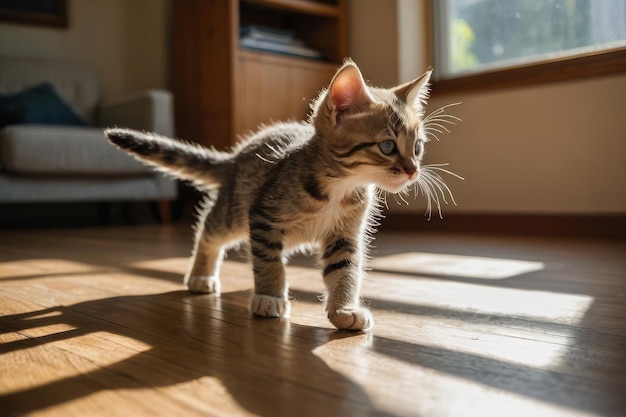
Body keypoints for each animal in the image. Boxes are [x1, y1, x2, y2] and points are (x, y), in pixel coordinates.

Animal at [102, 59, 454, 332]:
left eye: (417, 147)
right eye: (388, 146)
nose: (413, 171)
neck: (339, 188)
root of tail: (235, 157)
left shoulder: (345, 234)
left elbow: (345, 269)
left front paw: (343, 310)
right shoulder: (262, 216)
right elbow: (268, 261)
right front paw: (269, 296)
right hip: (234, 211)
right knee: (209, 230)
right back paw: (201, 275)